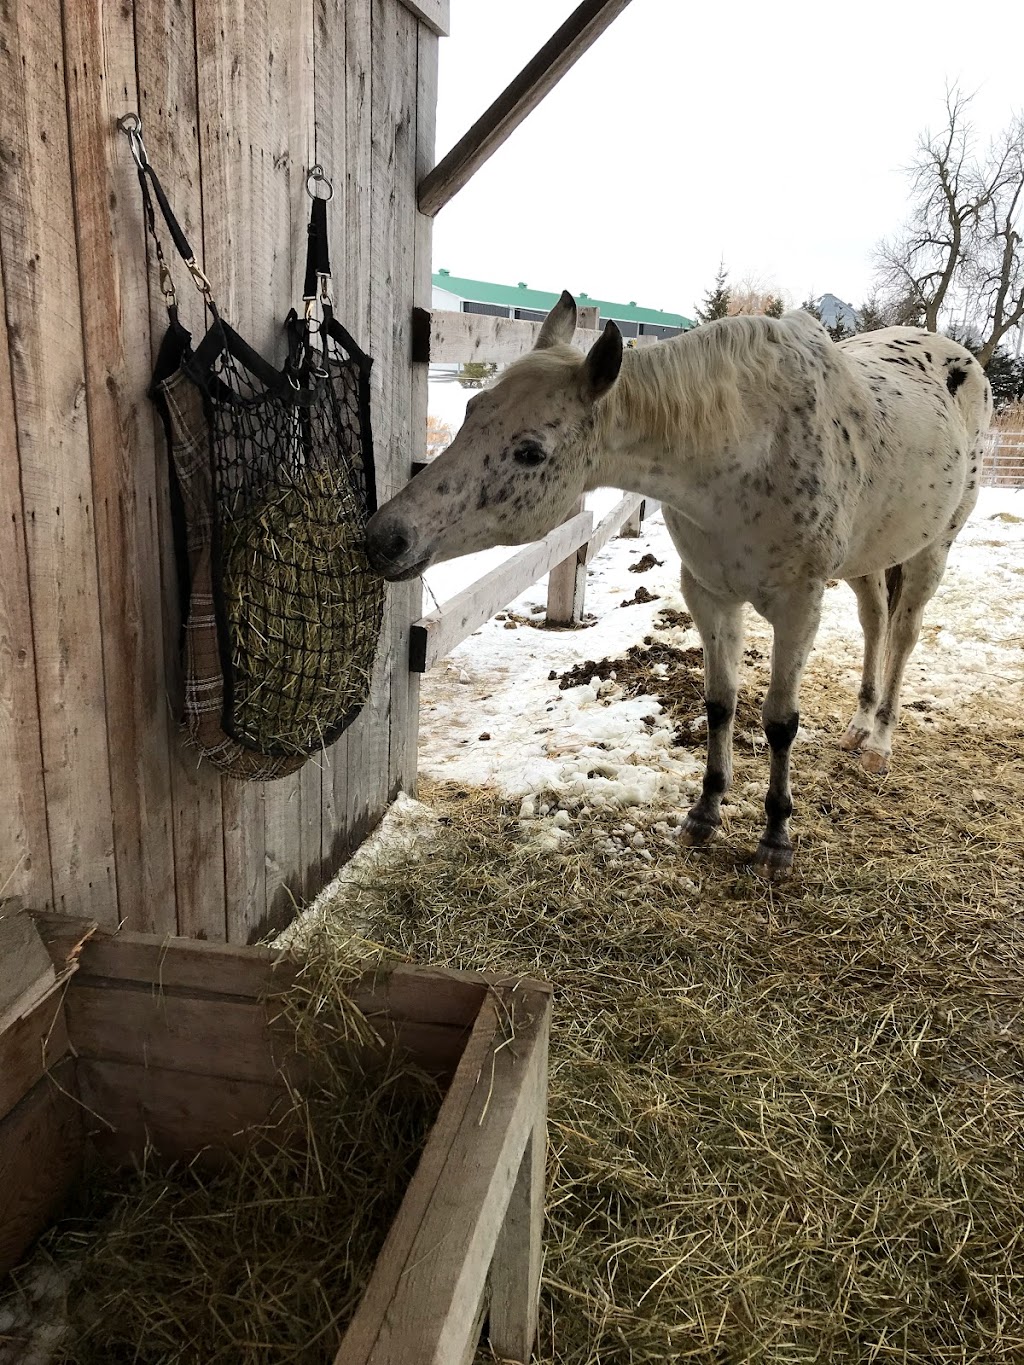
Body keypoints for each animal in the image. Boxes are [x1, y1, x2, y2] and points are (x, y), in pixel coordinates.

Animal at [368, 294, 993, 879]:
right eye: (473, 410)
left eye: (529, 452)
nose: (386, 537)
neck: (747, 447)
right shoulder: (709, 596)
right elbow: (720, 703)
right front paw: (705, 812)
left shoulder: (799, 607)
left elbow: (779, 723)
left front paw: (775, 839)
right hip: (869, 558)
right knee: (874, 622)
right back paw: (858, 728)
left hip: (931, 551)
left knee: (904, 635)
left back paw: (879, 743)